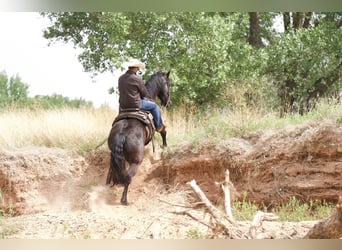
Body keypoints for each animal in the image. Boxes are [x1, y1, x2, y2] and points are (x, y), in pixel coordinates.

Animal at [105, 70, 171, 205]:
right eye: (169, 84)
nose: (169, 103)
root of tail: (122, 134)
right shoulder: (159, 124)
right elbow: (163, 131)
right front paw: (165, 147)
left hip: (113, 156)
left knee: (111, 173)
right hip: (136, 161)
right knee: (128, 177)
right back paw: (124, 200)